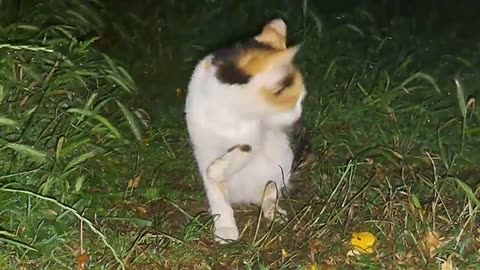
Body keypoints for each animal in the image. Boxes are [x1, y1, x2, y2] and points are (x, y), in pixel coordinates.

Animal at [186, 18, 306, 243]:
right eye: (292, 101)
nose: (299, 115)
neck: (229, 112)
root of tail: (246, 197)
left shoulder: (256, 137)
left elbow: (245, 149)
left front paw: (218, 170)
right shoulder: (204, 148)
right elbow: (216, 192)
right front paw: (225, 227)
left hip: (281, 163)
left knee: (270, 192)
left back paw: (273, 211)